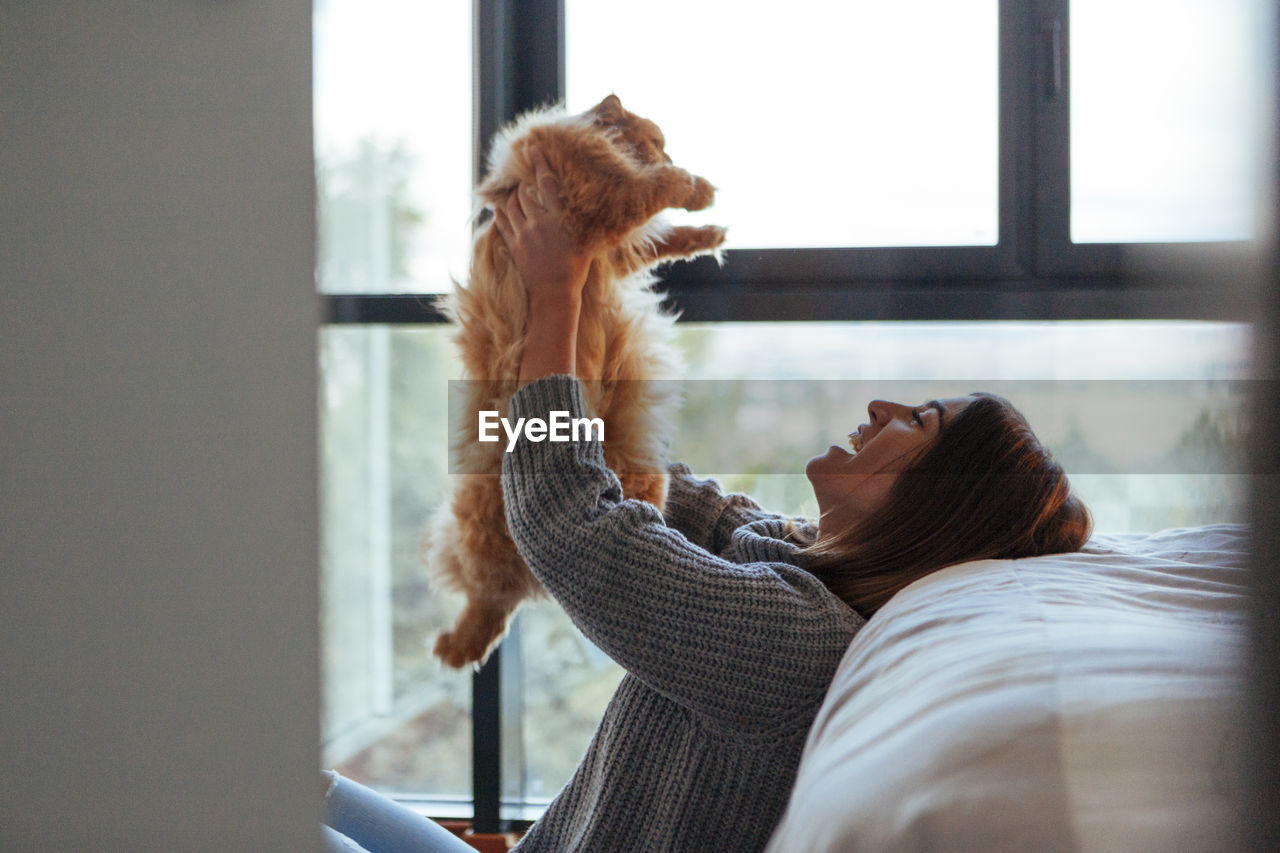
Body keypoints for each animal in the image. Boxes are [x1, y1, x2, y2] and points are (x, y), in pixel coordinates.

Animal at [422, 91, 721, 666]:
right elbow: (655, 192)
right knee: (490, 595)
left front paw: (709, 232)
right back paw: (459, 648)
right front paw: (696, 187)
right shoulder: (599, 208)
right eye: (656, 141)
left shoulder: (609, 242)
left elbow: (663, 238)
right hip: (482, 528)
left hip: (642, 482)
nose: (669, 152)